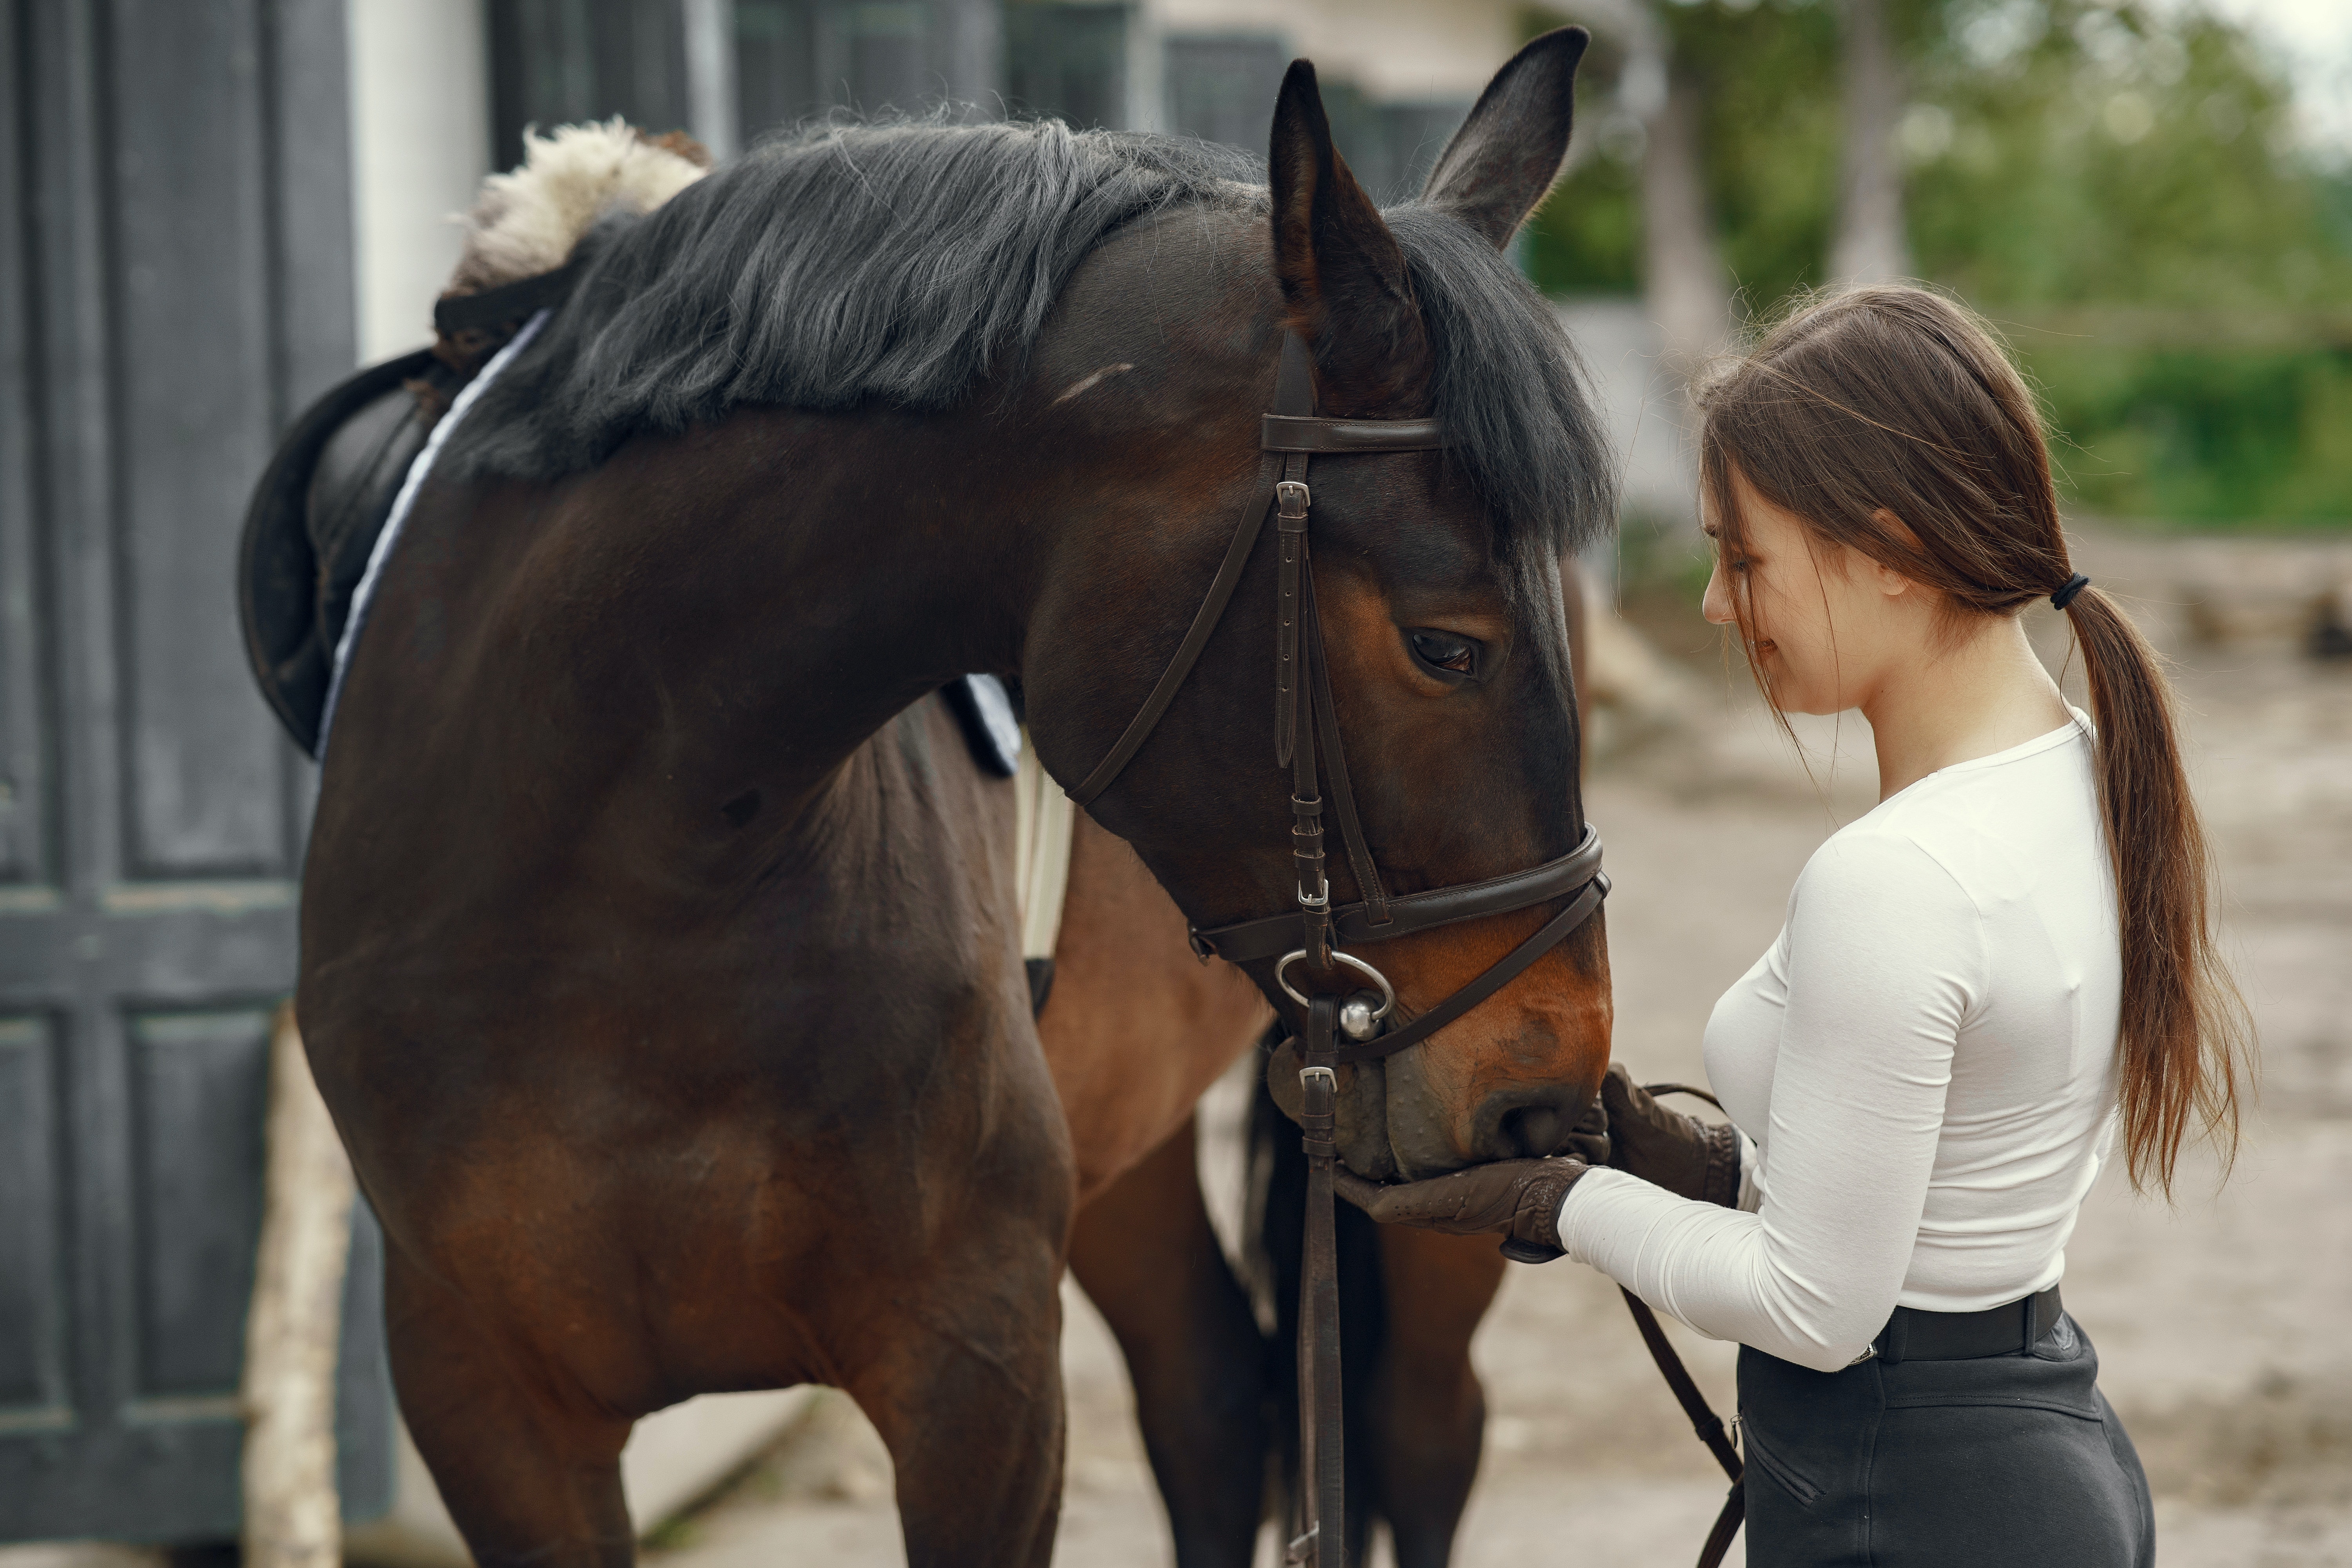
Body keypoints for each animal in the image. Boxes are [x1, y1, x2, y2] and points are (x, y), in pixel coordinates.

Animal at [294, 31, 1618, 1561]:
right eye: (1443, 645)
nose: (1550, 1085)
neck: (620, 884)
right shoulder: (489, 1407)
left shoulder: (975, 1376)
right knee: (1212, 1398)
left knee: (1416, 1430)